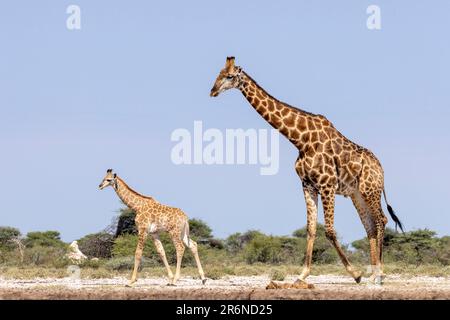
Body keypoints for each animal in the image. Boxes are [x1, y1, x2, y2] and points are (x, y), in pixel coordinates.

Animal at [209, 56, 402, 284]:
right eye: (219, 73)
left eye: (230, 76)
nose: (213, 91)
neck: (300, 140)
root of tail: (381, 169)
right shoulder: (308, 185)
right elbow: (310, 229)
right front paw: (302, 275)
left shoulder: (327, 185)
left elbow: (329, 231)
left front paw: (355, 274)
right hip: (356, 194)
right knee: (370, 225)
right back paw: (373, 274)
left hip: (370, 190)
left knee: (382, 220)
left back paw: (379, 274)